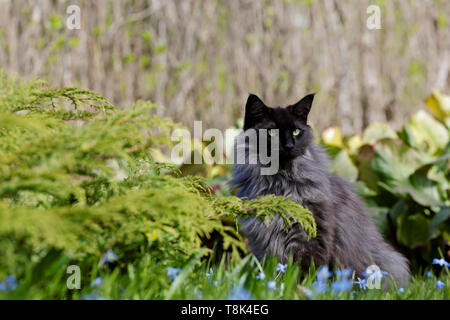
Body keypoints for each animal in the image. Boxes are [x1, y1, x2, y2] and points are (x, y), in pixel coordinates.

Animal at [230, 92, 410, 284]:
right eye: (271, 132)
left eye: (296, 131)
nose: (289, 146)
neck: (279, 183)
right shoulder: (262, 241)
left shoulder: (311, 235)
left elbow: (306, 272)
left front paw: (301, 288)